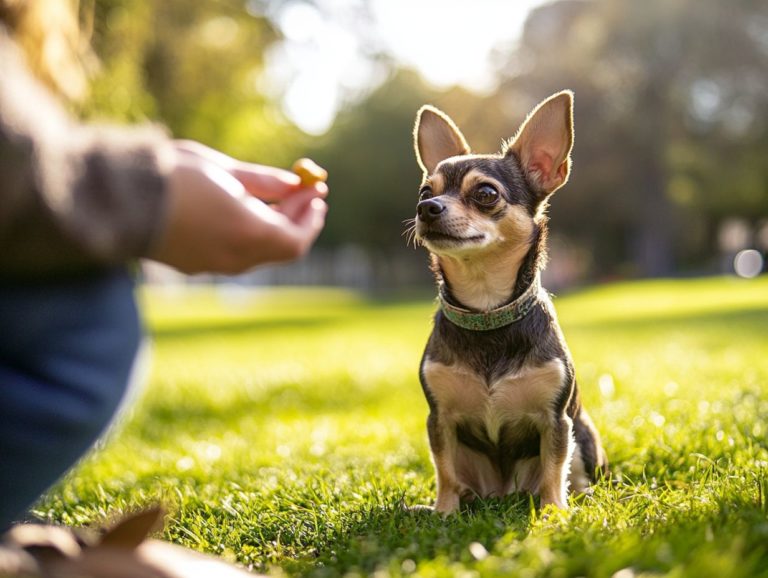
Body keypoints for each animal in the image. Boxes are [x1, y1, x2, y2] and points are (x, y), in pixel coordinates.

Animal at [408, 91, 608, 512]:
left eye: (486, 194)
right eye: (425, 192)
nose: (427, 208)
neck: (486, 311)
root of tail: (502, 493)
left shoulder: (555, 421)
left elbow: (553, 470)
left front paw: (553, 513)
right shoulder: (440, 420)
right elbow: (444, 472)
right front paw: (443, 512)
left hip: (582, 434)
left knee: (574, 474)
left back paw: (578, 500)